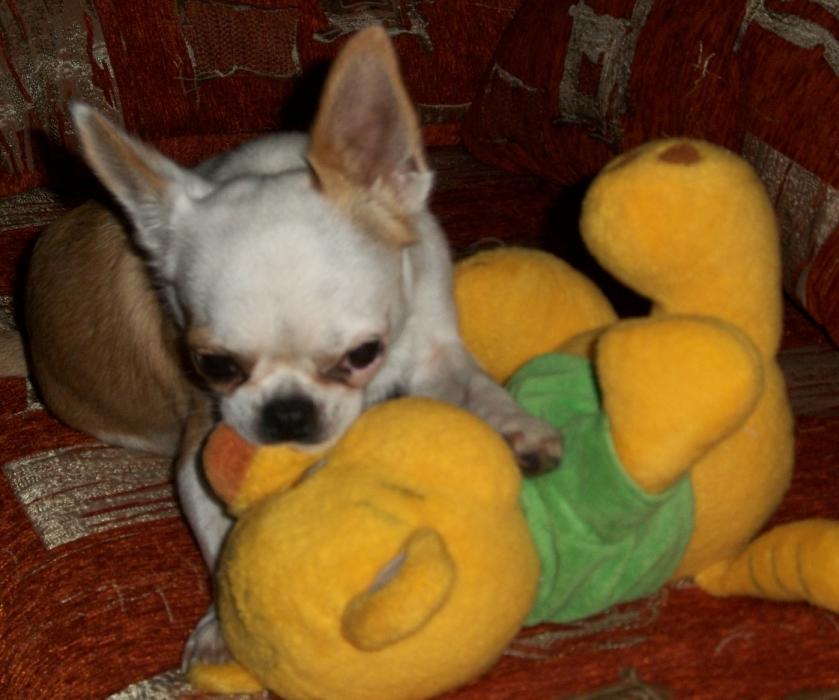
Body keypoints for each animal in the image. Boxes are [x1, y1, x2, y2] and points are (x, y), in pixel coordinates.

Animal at [24, 26, 562, 663]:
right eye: (213, 364)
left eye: (363, 354)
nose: (288, 413)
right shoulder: (201, 443)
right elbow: (222, 533)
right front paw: (223, 623)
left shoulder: (434, 347)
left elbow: (473, 383)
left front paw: (515, 425)